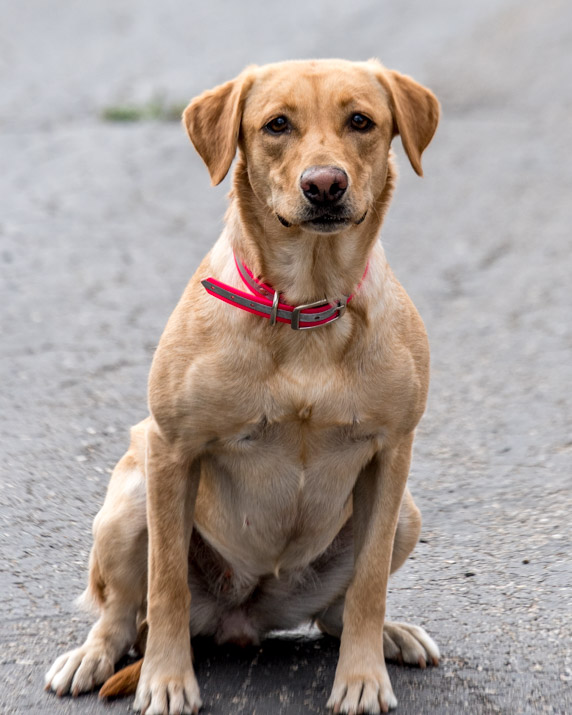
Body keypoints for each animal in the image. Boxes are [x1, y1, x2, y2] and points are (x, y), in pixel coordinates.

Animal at [44, 58, 440, 712]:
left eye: (361, 121)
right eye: (276, 125)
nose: (324, 185)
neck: (305, 305)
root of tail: (243, 619)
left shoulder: (392, 454)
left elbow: (369, 583)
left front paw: (361, 677)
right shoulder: (172, 451)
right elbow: (166, 584)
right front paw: (166, 681)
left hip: (405, 512)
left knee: (335, 613)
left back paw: (389, 635)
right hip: (129, 498)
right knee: (122, 611)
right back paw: (94, 655)